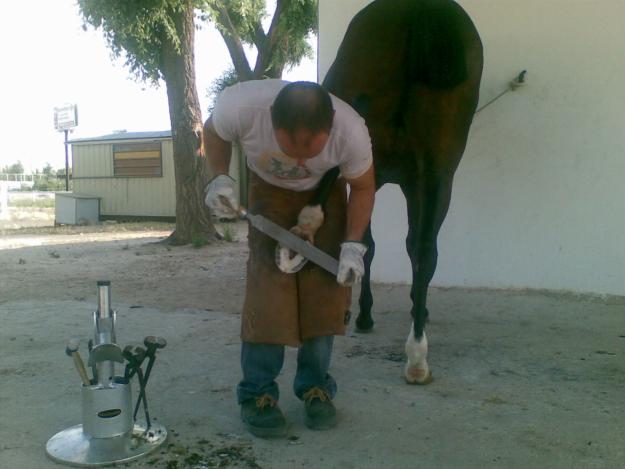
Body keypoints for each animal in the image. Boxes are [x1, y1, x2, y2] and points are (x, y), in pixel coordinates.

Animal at [316, 0, 482, 382]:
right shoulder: (410, 181)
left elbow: (369, 244)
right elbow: (401, 244)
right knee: (425, 248)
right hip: (439, 174)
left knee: (418, 247)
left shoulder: (384, 179)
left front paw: (366, 313)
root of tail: (420, 9)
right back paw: (417, 350)